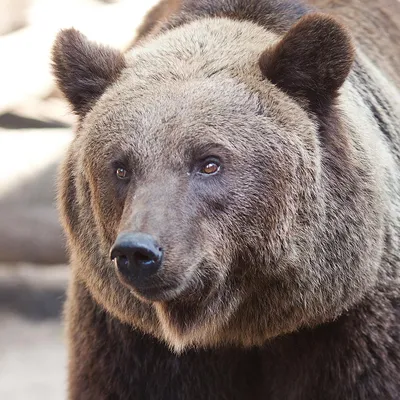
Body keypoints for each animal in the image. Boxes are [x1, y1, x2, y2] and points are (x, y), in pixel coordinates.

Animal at [51, 0, 398, 398]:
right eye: (121, 167)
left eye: (209, 162)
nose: (138, 251)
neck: (236, 328)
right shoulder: (128, 340)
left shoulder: (350, 326)